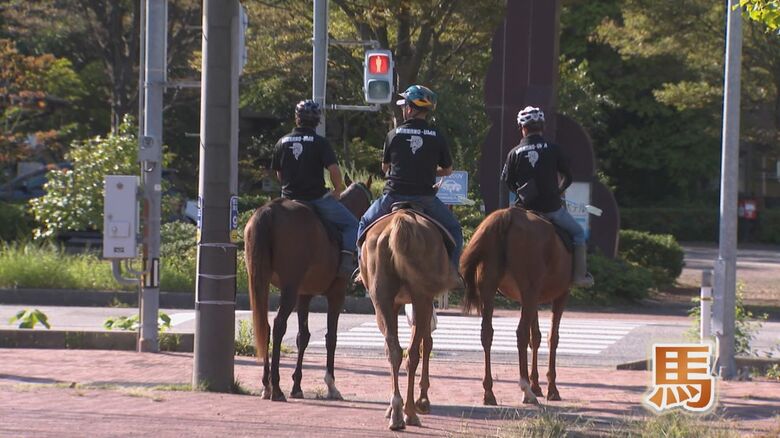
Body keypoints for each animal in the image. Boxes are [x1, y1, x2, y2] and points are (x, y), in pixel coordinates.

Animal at [243, 178, 372, 402]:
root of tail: (270, 210)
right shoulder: (336, 294)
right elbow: (331, 337)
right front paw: (331, 385)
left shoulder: (304, 294)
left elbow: (303, 337)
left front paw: (297, 385)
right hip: (289, 287)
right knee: (278, 325)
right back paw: (276, 388)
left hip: (261, 281)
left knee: (265, 327)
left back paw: (267, 385)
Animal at [360, 208, 457, 430]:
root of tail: (401, 218)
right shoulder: (424, 302)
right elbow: (426, 344)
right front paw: (423, 400)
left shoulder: (398, 304)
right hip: (421, 297)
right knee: (412, 354)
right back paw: (410, 412)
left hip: (382, 301)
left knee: (394, 351)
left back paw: (396, 412)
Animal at [460, 206, 572, 405]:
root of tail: (509, 214)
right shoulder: (560, 295)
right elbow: (552, 338)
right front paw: (551, 389)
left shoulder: (532, 300)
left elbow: (536, 337)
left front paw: (537, 385)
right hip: (529, 291)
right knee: (521, 333)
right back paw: (526, 389)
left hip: (490, 289)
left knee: (487, 333)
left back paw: (489, 392)